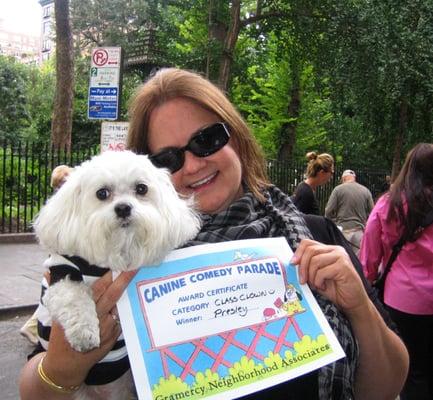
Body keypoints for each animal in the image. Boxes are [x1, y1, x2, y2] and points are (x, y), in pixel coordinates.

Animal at [33, 150, 200, 396]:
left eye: (141, 189)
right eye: (102, 193)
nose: (123, 208)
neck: (118, 249)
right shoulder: (62, 270)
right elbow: (73, 297)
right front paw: (84, 333)